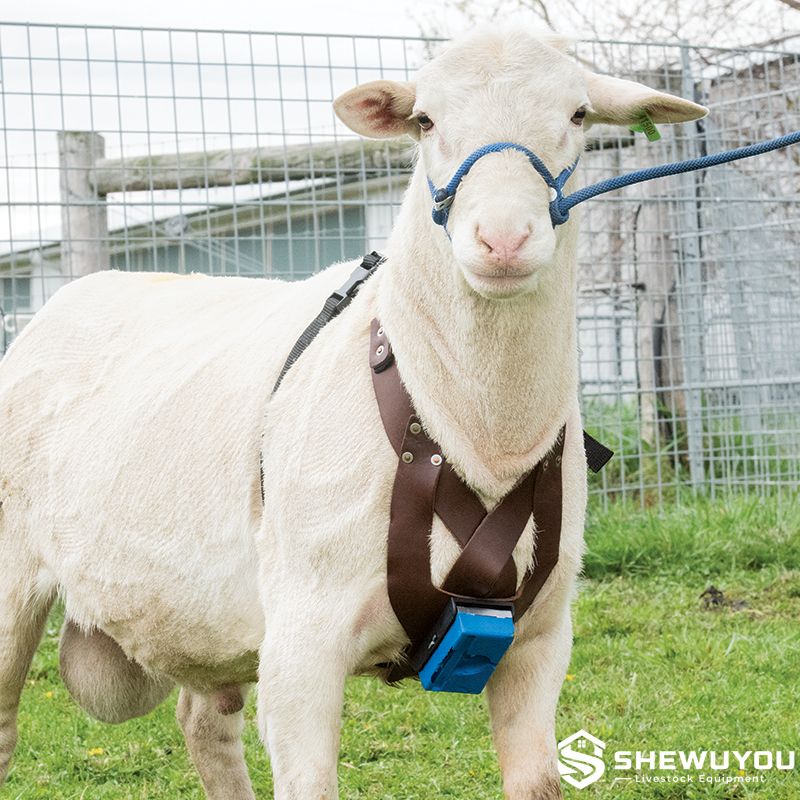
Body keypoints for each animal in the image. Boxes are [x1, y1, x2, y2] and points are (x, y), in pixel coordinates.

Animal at [0, 26, 706, 800]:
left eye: (579, 115)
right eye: (424, 120)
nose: (503, 240)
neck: (475, 433)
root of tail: (72, 294)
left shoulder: (541, 640)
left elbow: (537, 781)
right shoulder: (303, 642)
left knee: (204, 722)